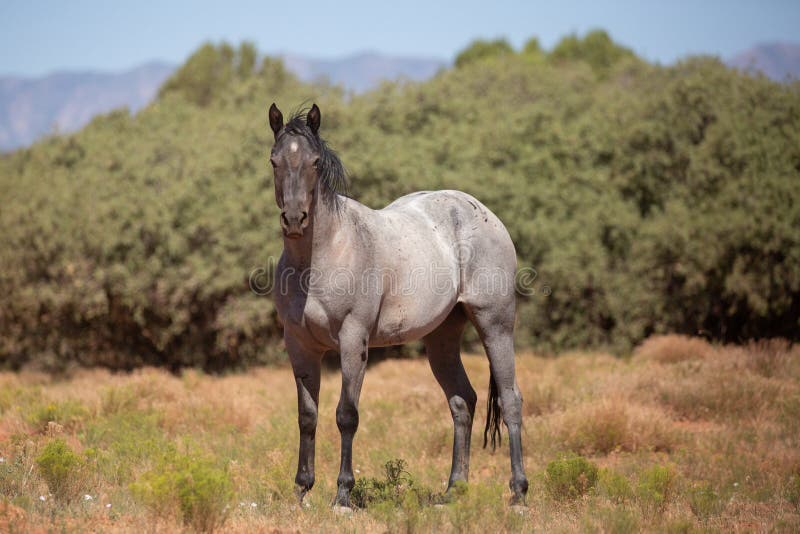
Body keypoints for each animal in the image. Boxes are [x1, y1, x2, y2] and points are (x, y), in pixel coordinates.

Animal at [270, 102, 532, 508]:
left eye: (314, 162)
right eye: (274, 161)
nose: (295, 219)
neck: (321, 256)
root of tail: (483, 214)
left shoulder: (353, 341)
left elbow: (346, 415)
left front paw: (343, 494)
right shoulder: (300, 346)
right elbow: (307, 416)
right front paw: (302, 489)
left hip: (495, 325)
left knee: (510, 399)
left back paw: (518, 491)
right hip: (442, 338)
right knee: (463, 401)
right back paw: (453, 490)